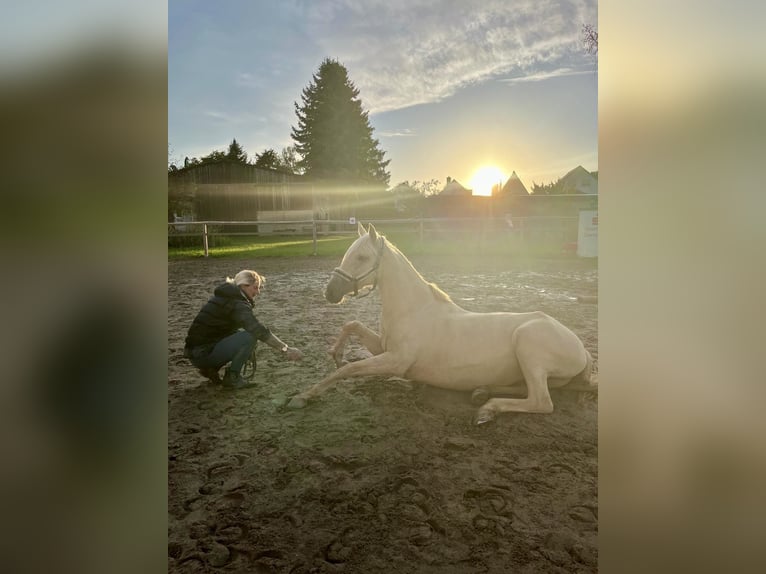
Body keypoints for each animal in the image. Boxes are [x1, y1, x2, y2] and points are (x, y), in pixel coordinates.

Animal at [290, 223, 600, 426]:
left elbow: (349, 370)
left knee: (541, 401)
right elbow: (351, 325)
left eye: (363, 257)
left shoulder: (396, 362)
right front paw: (335, 354)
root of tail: (582, 349)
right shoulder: (382, 348)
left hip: (528, 345)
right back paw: (481, 392)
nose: (330, 293)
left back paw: (487, 409)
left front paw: (303, 396)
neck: (413, 308)